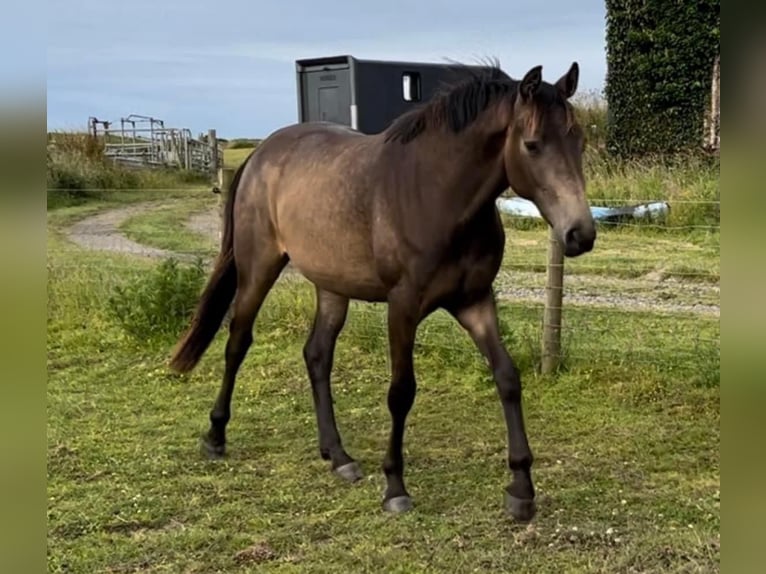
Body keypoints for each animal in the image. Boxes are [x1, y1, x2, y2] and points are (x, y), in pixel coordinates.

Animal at [170, 60, 600, 524]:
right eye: (532, 145)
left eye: (578, 140)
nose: (580, 234)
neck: (436, 195)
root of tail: (260, 155)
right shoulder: (403, 307)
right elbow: (401, 392)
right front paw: (395, 485)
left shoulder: (475, 302)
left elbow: (507, 377)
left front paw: (521, 488)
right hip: (258, 269)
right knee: (237, 341)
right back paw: (215, 436)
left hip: (331, 286)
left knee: (317, 355)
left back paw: (338, 455)